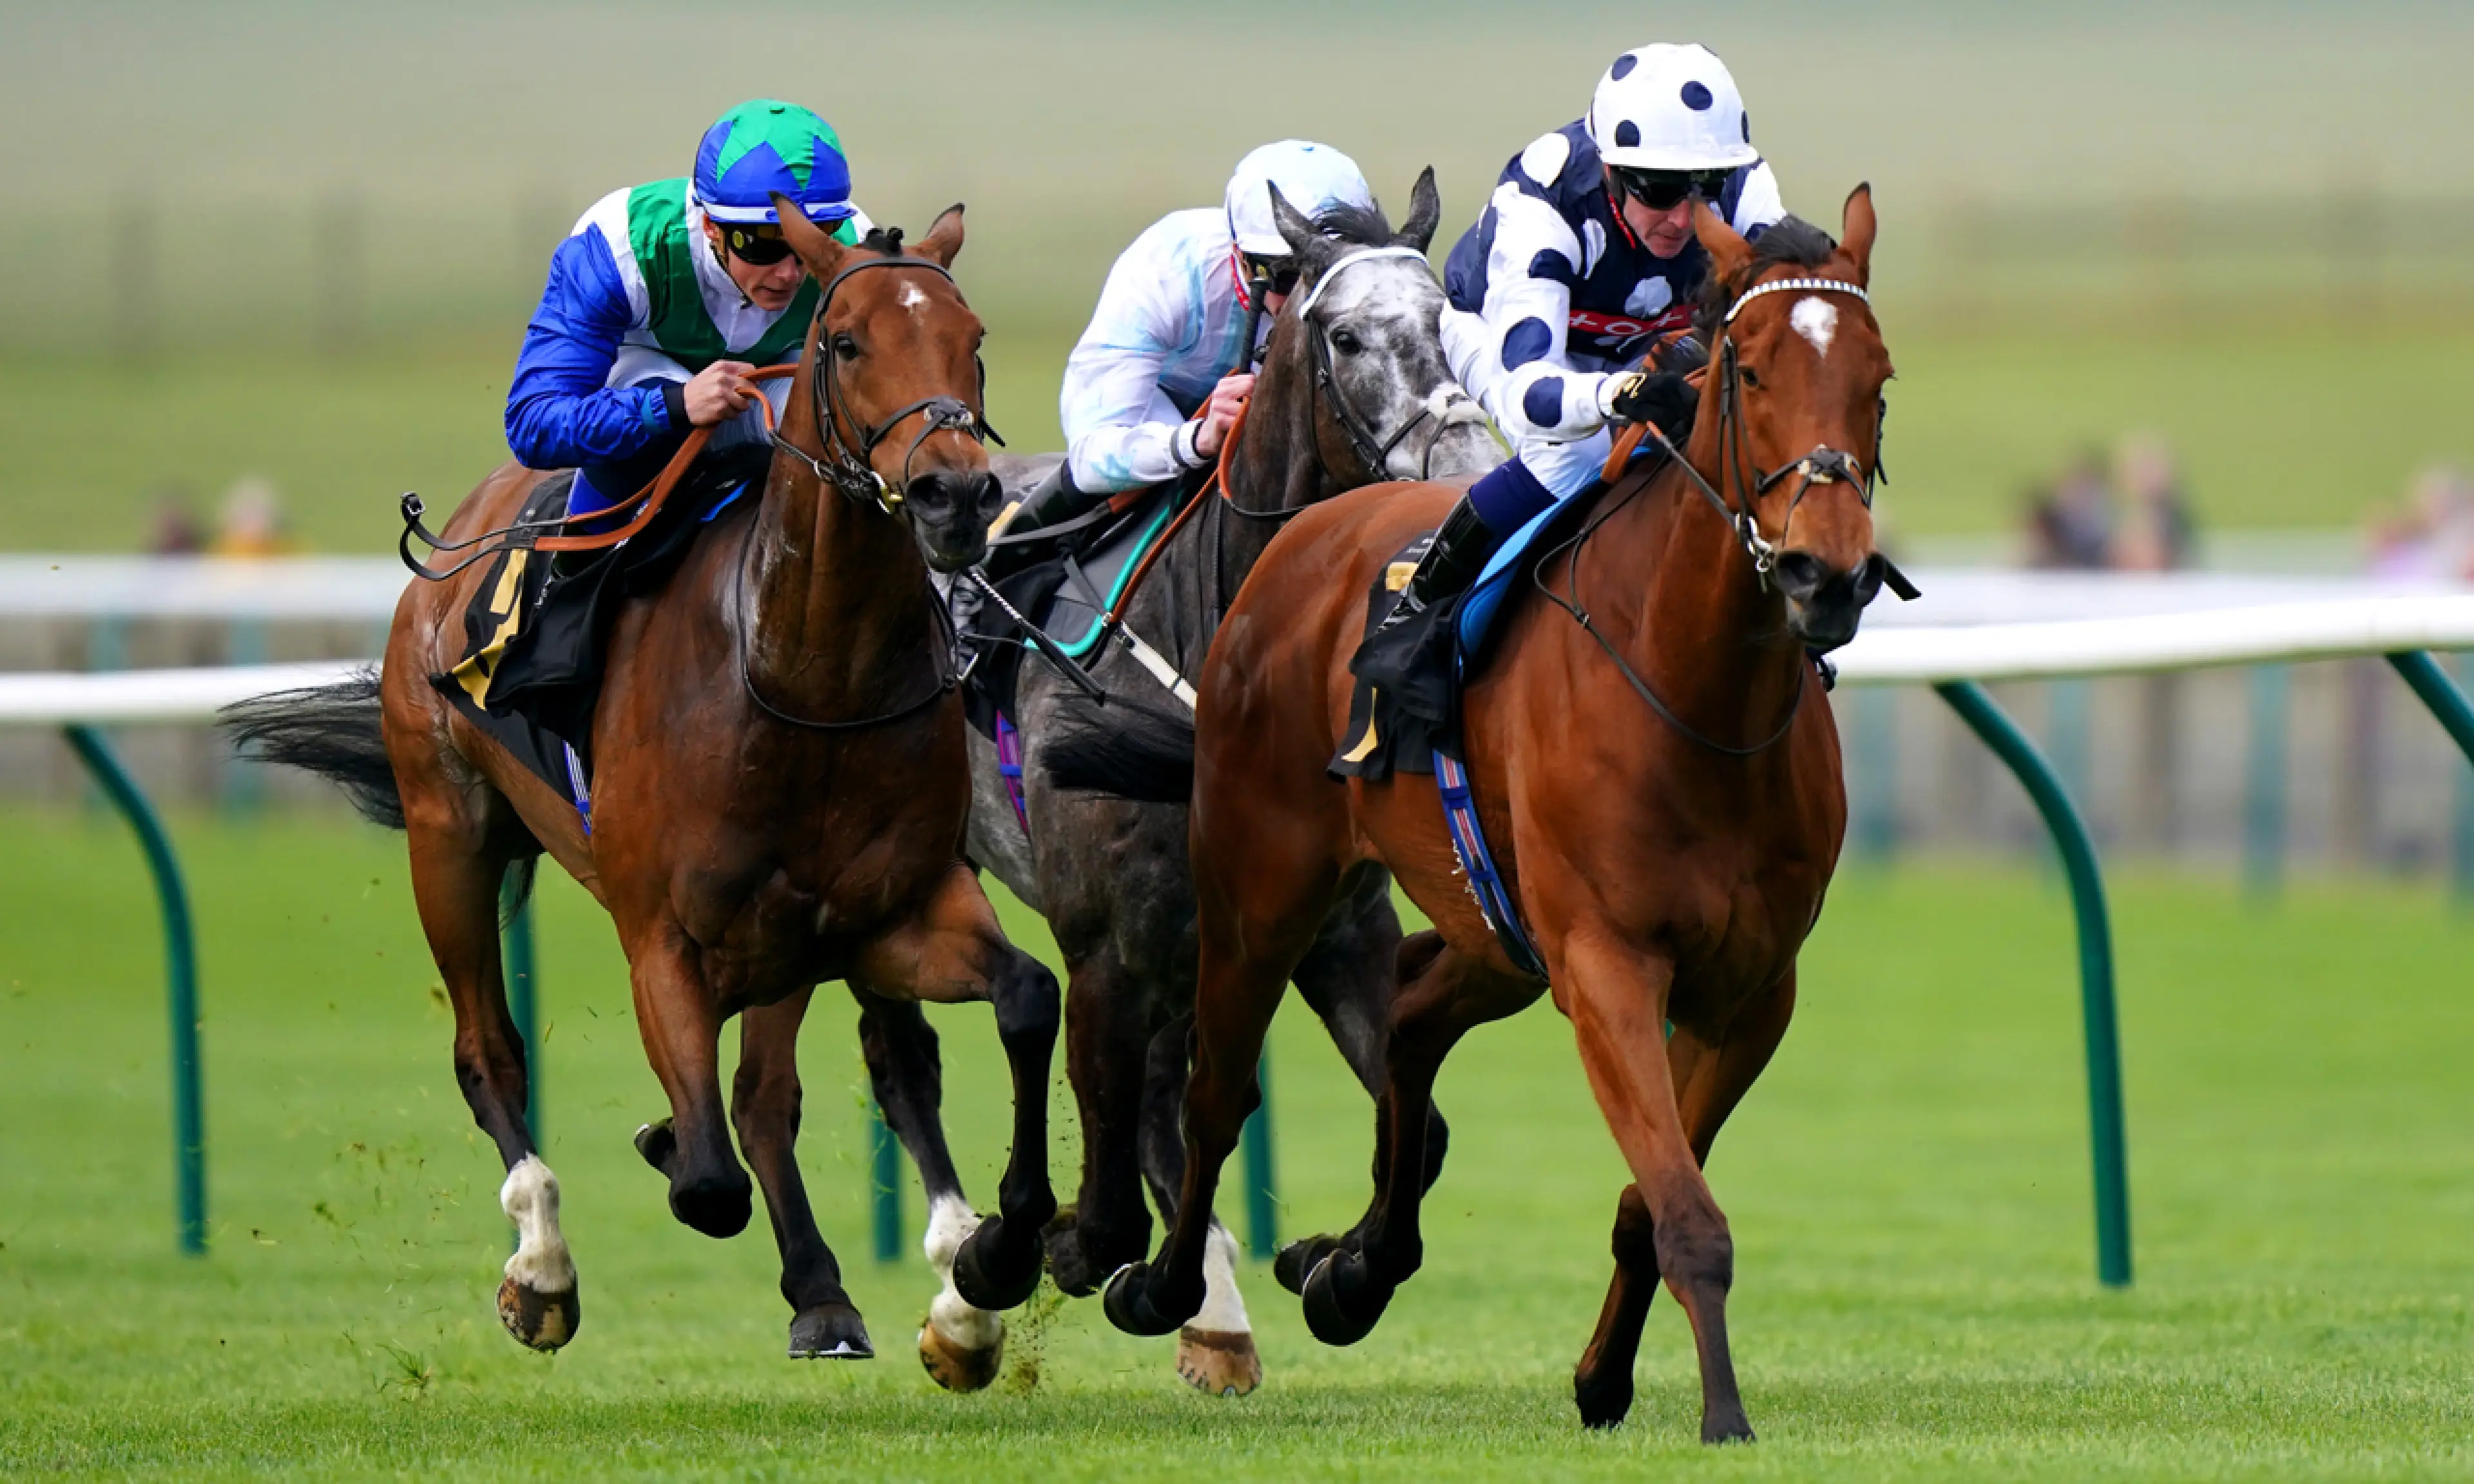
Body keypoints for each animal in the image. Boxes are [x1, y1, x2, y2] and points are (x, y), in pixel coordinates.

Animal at [226, 201, 1061, 1389]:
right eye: (846, 341)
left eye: (972, 338)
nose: (956, 493)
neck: (805, 675)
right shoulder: (665, 935)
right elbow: (706, 1178)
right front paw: (657, 1157)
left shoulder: (888, 910)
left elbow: (1025, 997)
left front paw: (988, 1261)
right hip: (450, 836)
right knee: (491, 1052)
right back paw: (542, 1267)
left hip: (788, 937)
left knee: (777, 1093)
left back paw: (832, 1294)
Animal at [1046, 188, 1892, 1441]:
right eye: (1746, 369)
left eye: (1878, 378)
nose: (1821, 576)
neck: (1698, 696)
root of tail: (1296, 539)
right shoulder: (1607, 963)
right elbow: (1688, 1212)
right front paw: (1725, 1414)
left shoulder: (1749, 991)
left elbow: (1651, 1200)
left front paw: (1604, 1377)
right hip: (1259, 888)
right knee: (1212, 1092)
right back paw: (1162, 1286)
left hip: (1490, 924)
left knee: (1407, 1017)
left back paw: (1352, 1267)